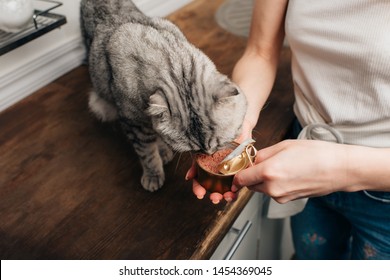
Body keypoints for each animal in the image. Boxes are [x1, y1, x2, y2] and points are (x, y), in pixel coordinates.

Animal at [80, 0, 247, 191]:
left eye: (218, 145)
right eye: (194, 149)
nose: (208, 154)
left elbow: (158, 136)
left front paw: (163, 150)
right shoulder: (135, 125)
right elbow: (147, 154)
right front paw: (153, 174)